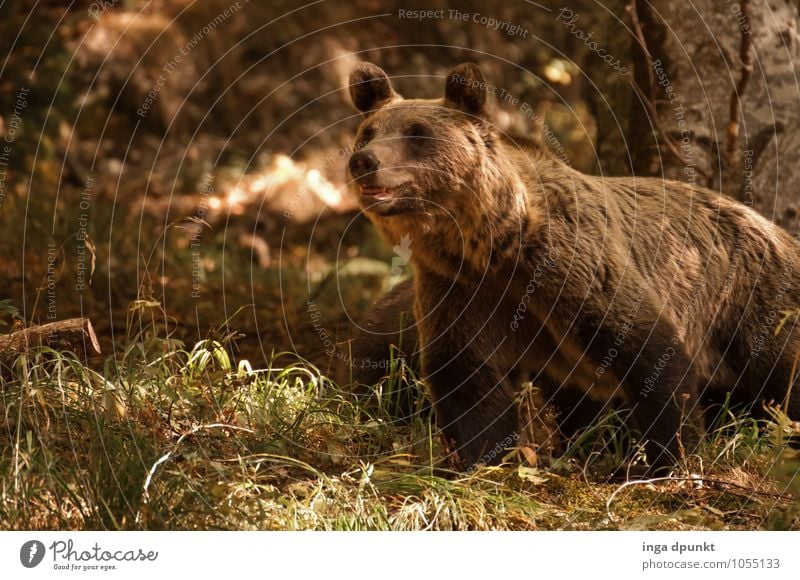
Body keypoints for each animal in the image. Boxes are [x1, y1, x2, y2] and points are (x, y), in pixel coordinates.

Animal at [346, 61, 800, 474]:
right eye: (368, 132)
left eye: (416, 133)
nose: (364, 161)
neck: (493, 246)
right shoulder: (462, 291)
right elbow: (468, 380)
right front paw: (478, 461)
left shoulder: (572, 267)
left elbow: (649, 352)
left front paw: (664, 460)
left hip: (753, 302)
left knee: (780, 376)